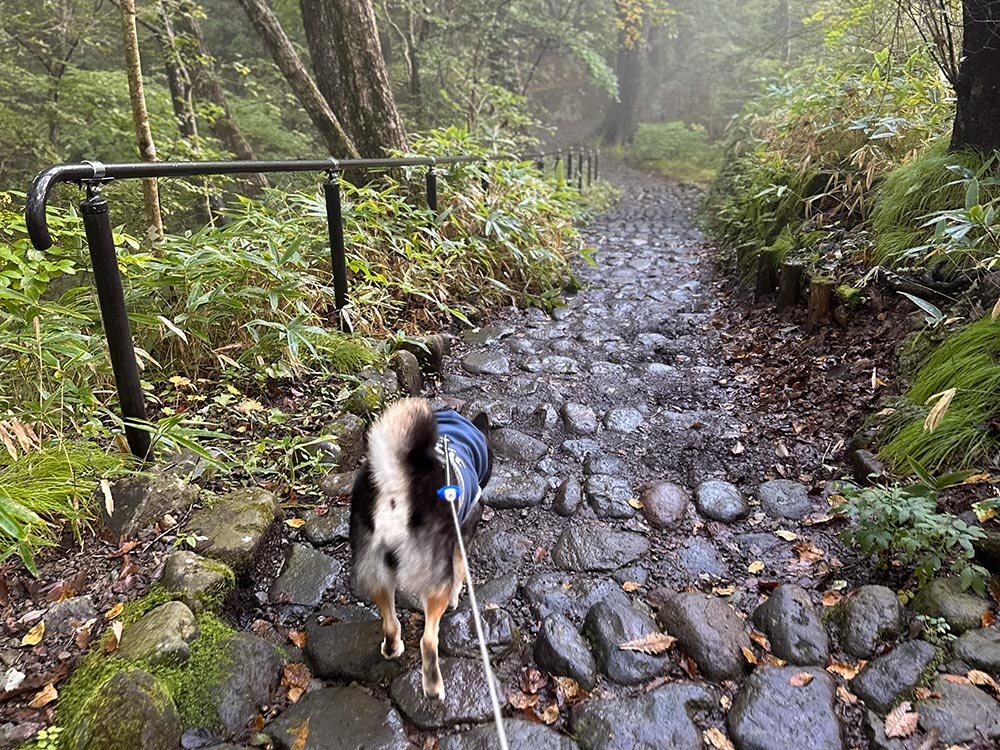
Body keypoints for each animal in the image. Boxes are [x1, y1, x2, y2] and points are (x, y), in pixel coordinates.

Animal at [350, 402, 494, 704]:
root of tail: (395, 486)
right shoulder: (462, 535)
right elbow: (459, 574)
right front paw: (456, 599)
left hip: (376, 571)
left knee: (390, 623)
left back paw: (392, 649)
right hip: (433, 580)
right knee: (429, 640)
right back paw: (433, 687)